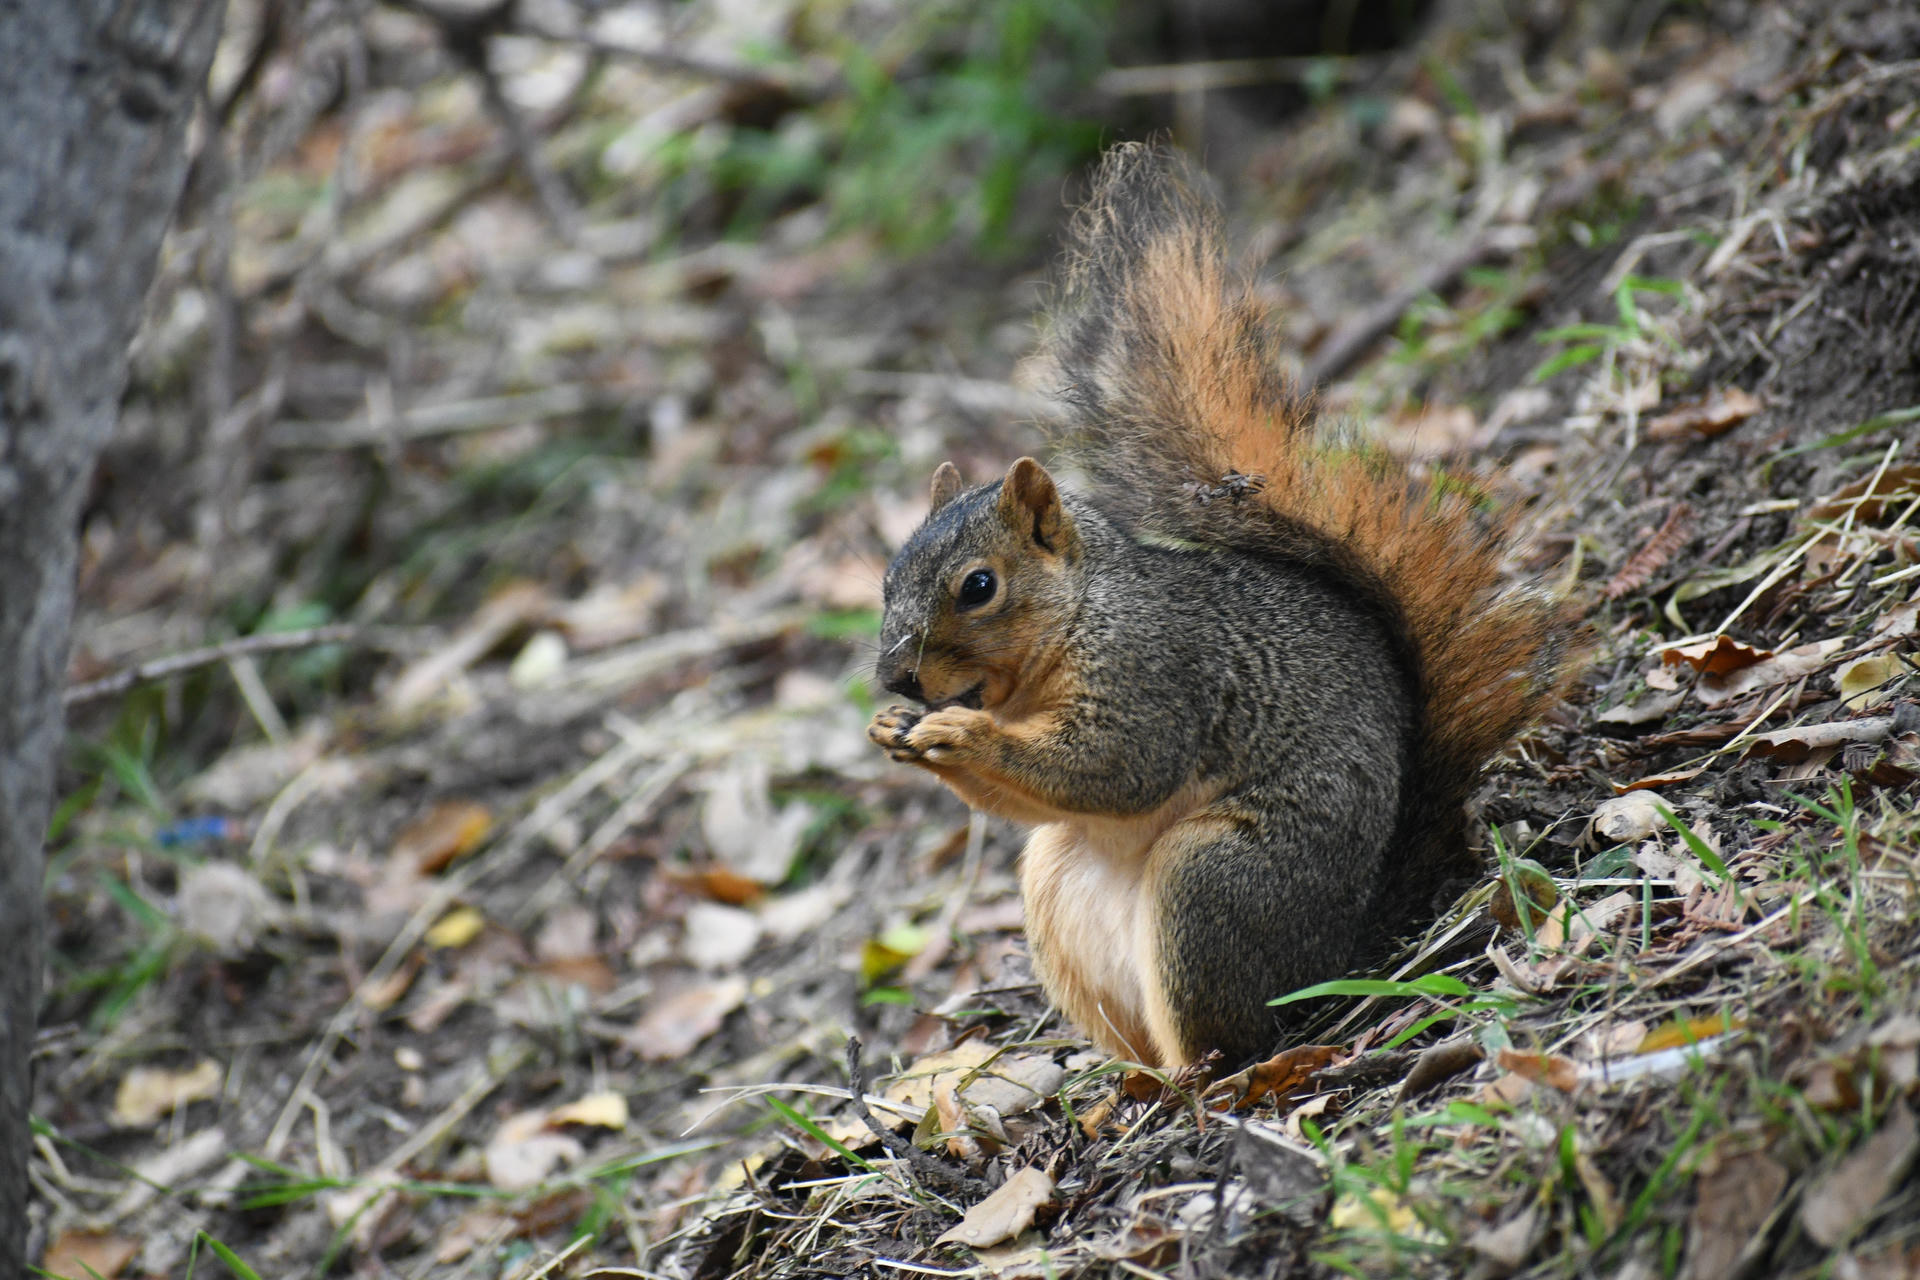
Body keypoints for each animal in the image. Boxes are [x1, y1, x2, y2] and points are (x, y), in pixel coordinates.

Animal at [866, 143, 1582, 1069]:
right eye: (887, 579)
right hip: (1057, 887)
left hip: (1214, 881)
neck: (1075, 622)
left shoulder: (1155, 669)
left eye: (978, 587)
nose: (896, 678)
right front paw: (895, 731)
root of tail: (1345, 948)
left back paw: (1193, 1078)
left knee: (1229, 1036)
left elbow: (1118, 764)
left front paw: (959, 733)